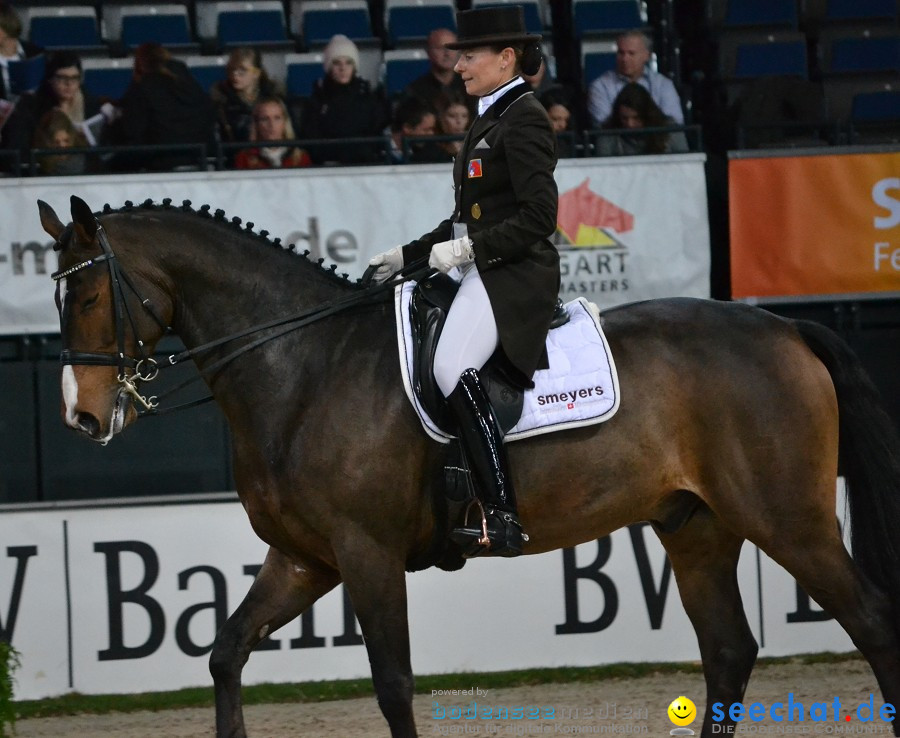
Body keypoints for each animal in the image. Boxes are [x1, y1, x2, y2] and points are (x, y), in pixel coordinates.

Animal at [38, 196, 900, 736]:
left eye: (89, 300)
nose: (81, 417)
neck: (304, 364)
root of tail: (784, 328)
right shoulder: (304, 558)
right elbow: (224, 655)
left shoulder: (367, 554)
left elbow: (392, 686)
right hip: (697, 527)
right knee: (728, 653)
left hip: (788, 519)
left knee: (872, 622)